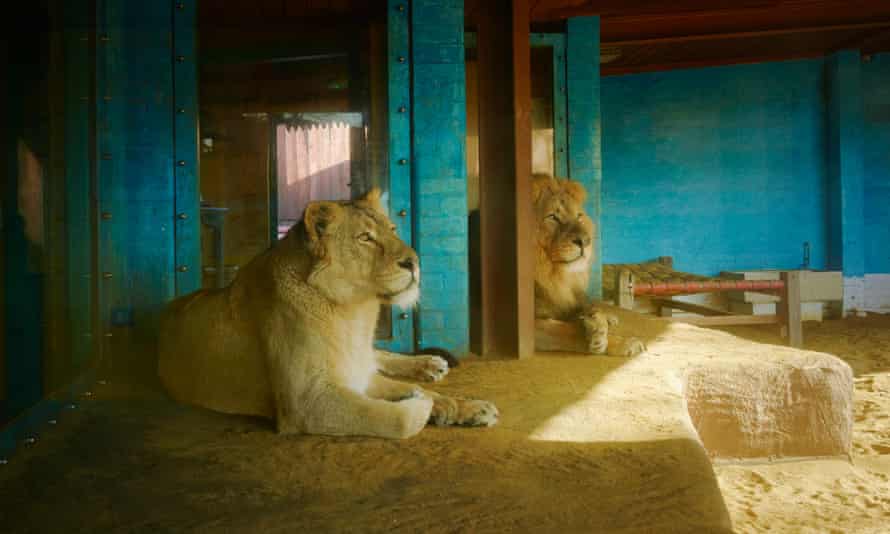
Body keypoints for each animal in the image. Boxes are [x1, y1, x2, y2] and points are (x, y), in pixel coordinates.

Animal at [158, 189, 498, 439]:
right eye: (365, 238)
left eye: (392, 230)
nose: (414, 263)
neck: (354, 311)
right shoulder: (307, 403)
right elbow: (391, 417)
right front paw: (422, 403)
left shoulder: (355, 373)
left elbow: (419, 392)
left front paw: (470, 407)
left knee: (379, 355)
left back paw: (430, 364)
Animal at [531, 174, 645, 357]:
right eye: (553, 217)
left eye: (579, 216)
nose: (585, 242)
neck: (549, 273)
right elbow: (565, 330)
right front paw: (621, 342)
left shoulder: (565, 299)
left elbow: (587, 307)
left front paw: (598, 324)